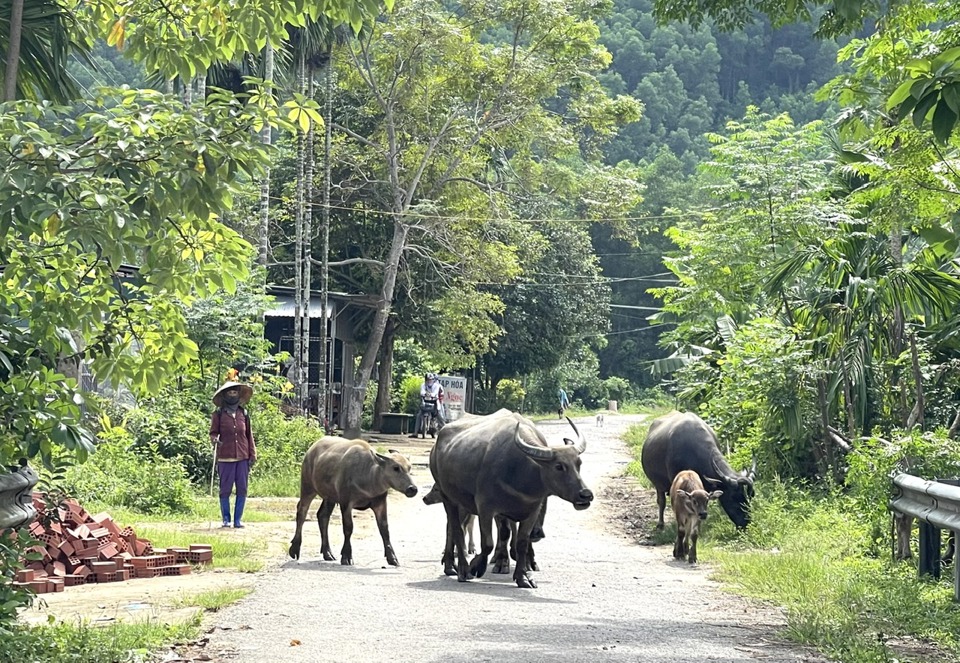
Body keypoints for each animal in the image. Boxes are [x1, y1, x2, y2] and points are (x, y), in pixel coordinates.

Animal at [286, 438, 418, 568]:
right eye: (396, 468)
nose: (412, 489)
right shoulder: (346, 503)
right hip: (307, 487)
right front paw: (346, 556)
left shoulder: (380, 503)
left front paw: (392, 558)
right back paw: (295, 549)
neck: (369, 477)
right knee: (302, 512)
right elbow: (348, 528)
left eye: (409, 468)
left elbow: (384, 529)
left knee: (323, 516)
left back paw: (327, 553)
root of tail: (311, 449)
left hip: (330, 497)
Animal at [430, 412, 592, 588]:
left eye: (579, 463)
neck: (520, 472)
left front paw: (523, 577)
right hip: (448, 497)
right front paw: (476, 567)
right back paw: (460, 569)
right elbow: (488, 543)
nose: (586, 494)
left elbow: (521, 542)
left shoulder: (531, 511)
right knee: (455, 529)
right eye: (559, 466)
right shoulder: (485, 508)